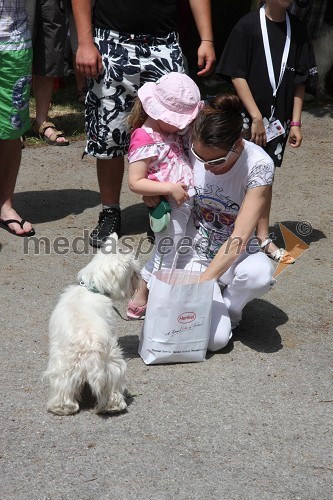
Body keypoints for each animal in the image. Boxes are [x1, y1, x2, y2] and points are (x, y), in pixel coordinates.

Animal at [43, 236, 139, 416]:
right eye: (133, 272)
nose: (140, 278)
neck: (91, 288)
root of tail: (90, 348)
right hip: (112, 363)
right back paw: (112, 406)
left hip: (63, 366)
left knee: (64, 389)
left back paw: (62, 407)